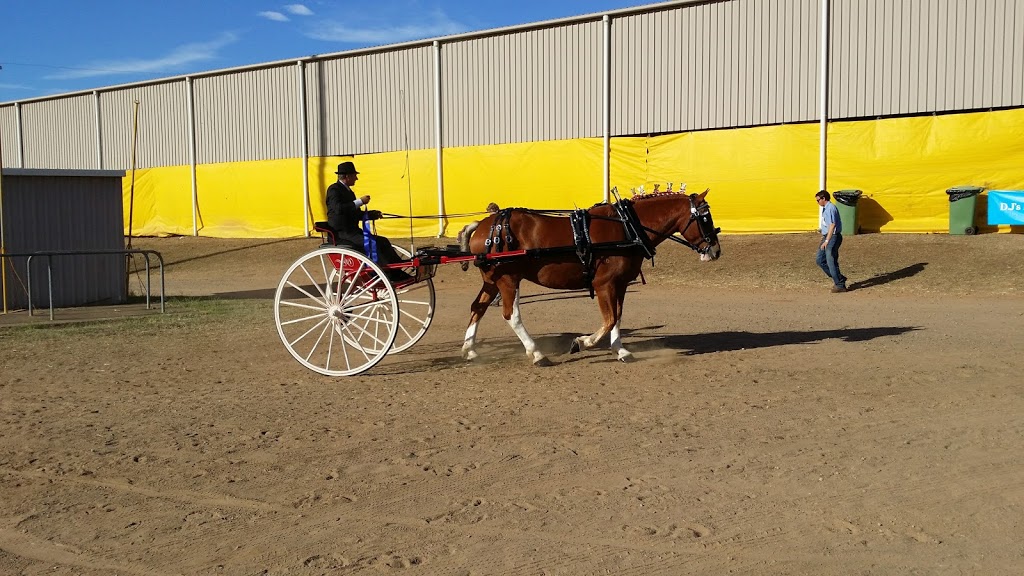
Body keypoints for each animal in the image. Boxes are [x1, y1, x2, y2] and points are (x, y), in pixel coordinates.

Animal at [462, 190, 720, 364]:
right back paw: (537, 354)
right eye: (705, 217)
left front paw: (620, 350)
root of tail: (484, 226)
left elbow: (617, 317)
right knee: (511, 315)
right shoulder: (604, 284)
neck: (627, 227)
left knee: (478, 307)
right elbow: (609, 320)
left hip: (492, 281)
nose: (716, 250)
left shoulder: (620, 284)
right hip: (508, 280)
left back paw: (470, 349)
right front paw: (581, 342)